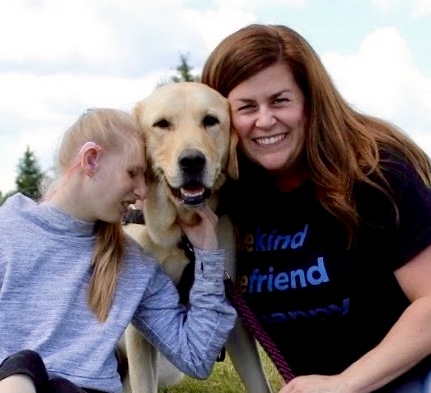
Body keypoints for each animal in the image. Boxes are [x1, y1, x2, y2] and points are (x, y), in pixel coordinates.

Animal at [120, 81, 272, 392]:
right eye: (162, 124)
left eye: (210, 121)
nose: (192, 161)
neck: (179, 235)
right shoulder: (137, 334)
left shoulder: (233, 315)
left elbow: (259, 382)